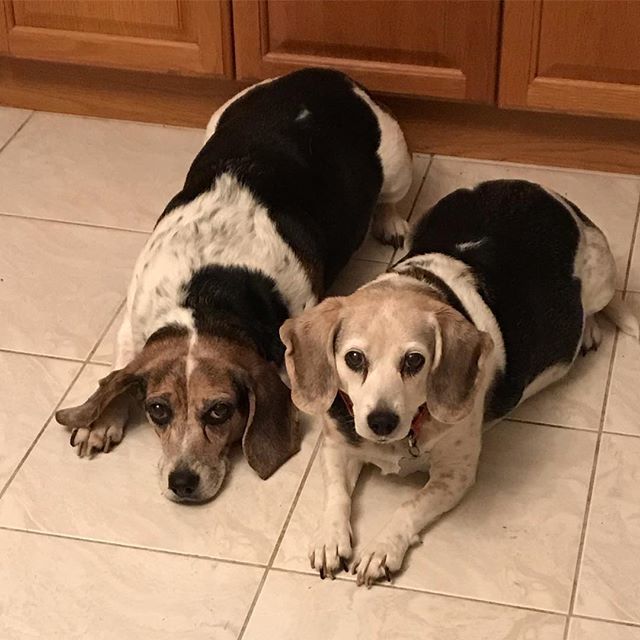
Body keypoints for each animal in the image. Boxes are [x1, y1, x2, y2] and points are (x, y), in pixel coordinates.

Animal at [56, 66, 416, 504]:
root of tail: (322, 73)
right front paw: (101, 420)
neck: (205, 298)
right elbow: (122, 370)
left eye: (220, 411)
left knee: (388, 198)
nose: (182, 483)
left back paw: (390, 220)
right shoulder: (131, 324)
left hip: (396, 165)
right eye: (158, 410)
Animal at [282, 179, 636, 584]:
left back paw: (589, 329)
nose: (381, 422)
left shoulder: (455, 475)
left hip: (601, 279)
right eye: (353, 358)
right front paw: (330, 537)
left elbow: (408, 505)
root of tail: (537, 189)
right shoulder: (337, 446)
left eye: (415, 360)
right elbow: (337, 494)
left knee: (595, 307)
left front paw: (382, 548)